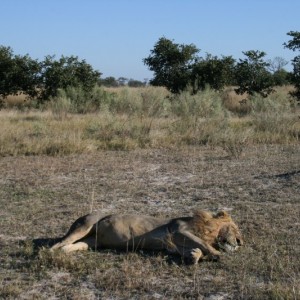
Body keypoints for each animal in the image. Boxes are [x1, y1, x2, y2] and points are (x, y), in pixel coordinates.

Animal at [51, 210, 243, 264]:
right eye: (235, 228)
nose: (241, 242)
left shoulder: (174, 244)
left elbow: (197, 248)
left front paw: (194, 255)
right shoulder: (178, 231)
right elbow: (203, 243)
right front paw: (217, 254)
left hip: (91, 242)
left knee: (69, 246)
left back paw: (63, 253)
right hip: (85, 225)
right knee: (58, 243)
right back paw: (48, 254)